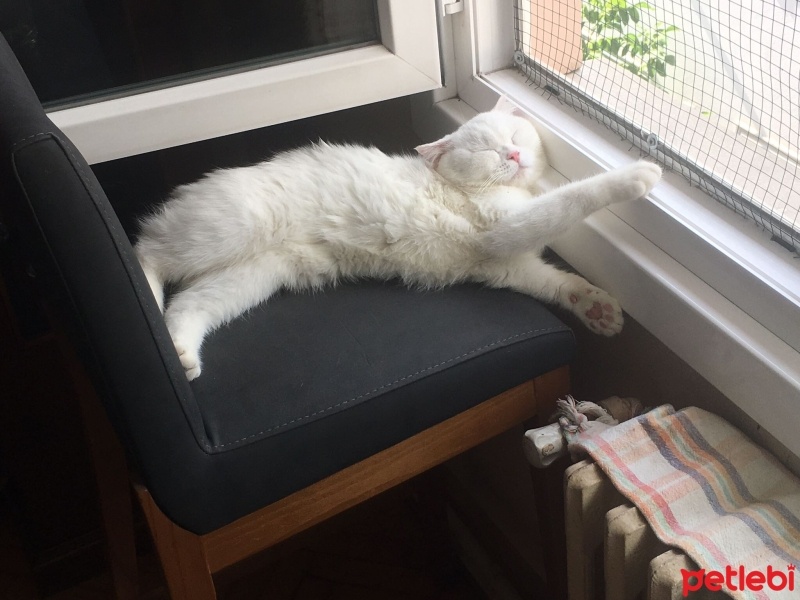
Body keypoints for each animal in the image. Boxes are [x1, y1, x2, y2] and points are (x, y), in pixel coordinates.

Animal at [134, 98, 664, 380]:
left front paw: (597, 310)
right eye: (485, 149)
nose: (512, 155)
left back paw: (180, 351)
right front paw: (635, 176)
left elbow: (558, 284)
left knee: (187, 305)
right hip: (229, 228)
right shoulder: (509, 226)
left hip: (249, 278)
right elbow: (572, 197)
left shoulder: (508, 264)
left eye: (515, 134)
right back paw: (143, 292)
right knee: (148, 251)